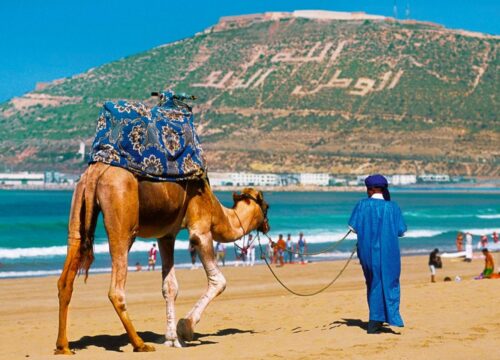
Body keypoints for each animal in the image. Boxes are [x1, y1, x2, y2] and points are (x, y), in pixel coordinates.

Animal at [54, 163, 270, 354]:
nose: (267, 226)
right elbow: (219, 281)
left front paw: (172, 339)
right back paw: (140, 344)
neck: (217, 211)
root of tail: (94, 173)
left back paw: (63, 347)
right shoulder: (200, 229)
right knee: (116, 289)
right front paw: (185, 328)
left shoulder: (166, 236)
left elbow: (170, 287)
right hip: (122, 218)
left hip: (78, 207)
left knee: (66, 279)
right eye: (266, 206)